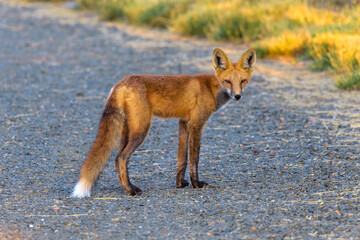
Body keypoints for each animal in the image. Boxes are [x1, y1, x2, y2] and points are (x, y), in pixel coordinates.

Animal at [71, 48, 256, 197]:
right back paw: (130, 191)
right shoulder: (196, 124)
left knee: (117, 158)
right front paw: (197, 184)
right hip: (142, 129)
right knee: (122, 158)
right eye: (228, 81)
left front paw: (180, 184)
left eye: (243, 81)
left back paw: (128, 186)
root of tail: (122, 82)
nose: (237, 96)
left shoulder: (183, 123)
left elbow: (182, 159)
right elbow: (194, 159)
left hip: (127, 130)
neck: (211, 88)